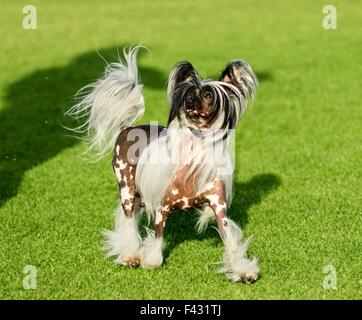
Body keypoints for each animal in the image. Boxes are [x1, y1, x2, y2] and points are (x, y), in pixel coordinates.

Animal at [67, 46, 260, 282]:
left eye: (207, 94)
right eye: (188, 93)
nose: (189, 101)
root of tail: (126, 128)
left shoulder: (218, 207)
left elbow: (230, 241)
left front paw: (243, 270)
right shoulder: (162, 207)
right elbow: (158, 237)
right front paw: (151, 261)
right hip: (127, 188)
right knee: (128, 221)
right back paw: (130, 255)